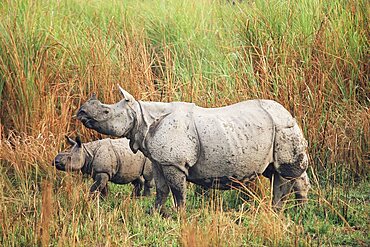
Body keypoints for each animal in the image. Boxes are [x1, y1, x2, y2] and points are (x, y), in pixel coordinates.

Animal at [76, 86, 310, 211]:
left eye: (105, 112)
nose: (81, 112)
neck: (142, 116)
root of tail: (289, 113)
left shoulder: (174, 162)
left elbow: (178, 191)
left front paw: (179, 215)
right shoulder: (159, 161)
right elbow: (161, 189)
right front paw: (154, 212)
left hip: (283, 127)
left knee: (286, 172)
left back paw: (288, 211)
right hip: (276, 127)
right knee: (279, 173)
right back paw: (290, 210)